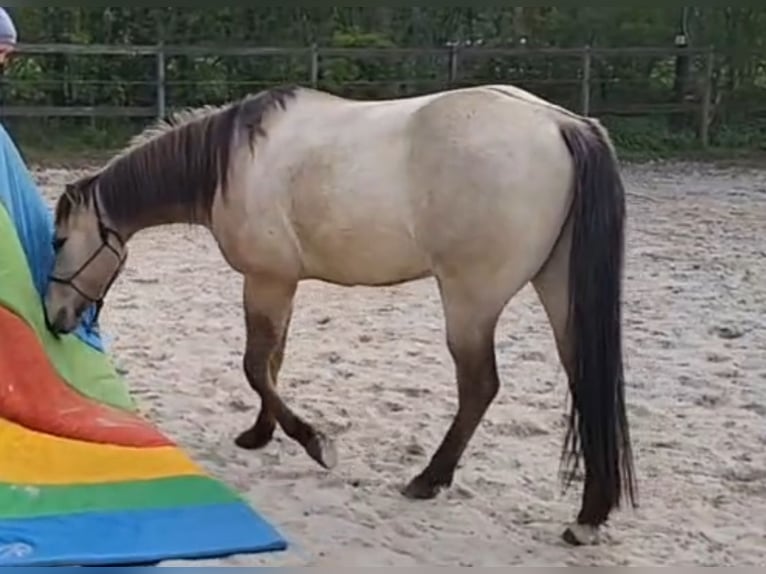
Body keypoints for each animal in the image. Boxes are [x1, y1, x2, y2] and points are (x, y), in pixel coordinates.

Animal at [43, 83, 637, 546]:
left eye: (59, 240)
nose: (55, 317)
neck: (233, 161)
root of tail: (562, 123)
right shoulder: (281, 284)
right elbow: (273, 362)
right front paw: (260, 435)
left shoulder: (266, 280)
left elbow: (255, 365)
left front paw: (313, 442)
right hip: (558, 289)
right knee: (585, 380)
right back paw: (589, 514)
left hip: (470, 302)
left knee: (479, 387)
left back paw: (429, 479)